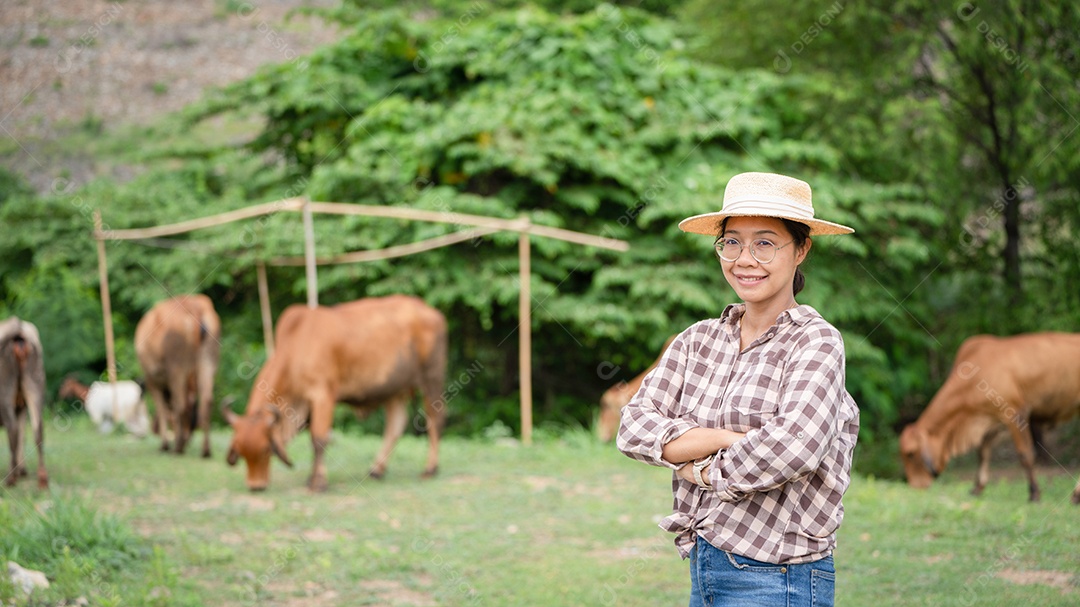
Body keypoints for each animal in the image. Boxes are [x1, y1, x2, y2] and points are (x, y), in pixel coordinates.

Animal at [0, 317, 47, 486]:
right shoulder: (20, 407)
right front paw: (23, 470)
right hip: (35, 385)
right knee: (37, 430)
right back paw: (42, 479)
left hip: (5, 395)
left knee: (12, 430)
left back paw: (10, 478)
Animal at [134, 293, 219, 453]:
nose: (189, 436)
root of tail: (193, 305)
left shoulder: (152, 380)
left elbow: (162, 409)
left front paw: (165, 444)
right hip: (207, 361)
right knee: (206, 400)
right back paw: (205, 450)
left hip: (176, 368)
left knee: (181, 403)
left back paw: (178, 446)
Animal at [225, 293, 449, 492]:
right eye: (241, 451)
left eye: (265, 449)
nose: (256, 486)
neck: (295, 350)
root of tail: (432, 312)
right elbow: (313, 440)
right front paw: (311, 479)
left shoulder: (323, 396)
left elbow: (319, 440)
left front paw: (319, 483)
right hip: (395, 390)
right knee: (395, 426)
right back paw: (377, 470)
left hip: (432, 380)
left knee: (434, 420)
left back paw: (430, 468)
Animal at [898, 330, 1080, 501]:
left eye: (910, 453)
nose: (914, 485)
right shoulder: (989, 420)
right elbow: (982, 453)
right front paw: (977, 488)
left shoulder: (1015, 413)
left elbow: (1025, 455)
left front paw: (1034, 493)